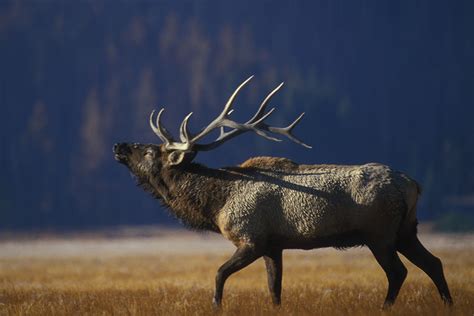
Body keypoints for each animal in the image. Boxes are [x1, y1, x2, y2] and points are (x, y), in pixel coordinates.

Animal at [113, 75, 454, 308]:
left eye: (150, 151)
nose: (119, 145)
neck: (216, 204)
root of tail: (412, 184)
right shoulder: (274, 246)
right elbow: (274, 288)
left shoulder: (251, 238)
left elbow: (220, 274)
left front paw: (216, 306)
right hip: (406, 230)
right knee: (434, 263)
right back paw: (448, 304)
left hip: (379, 234)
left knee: (398, 272)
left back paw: (386, 307)